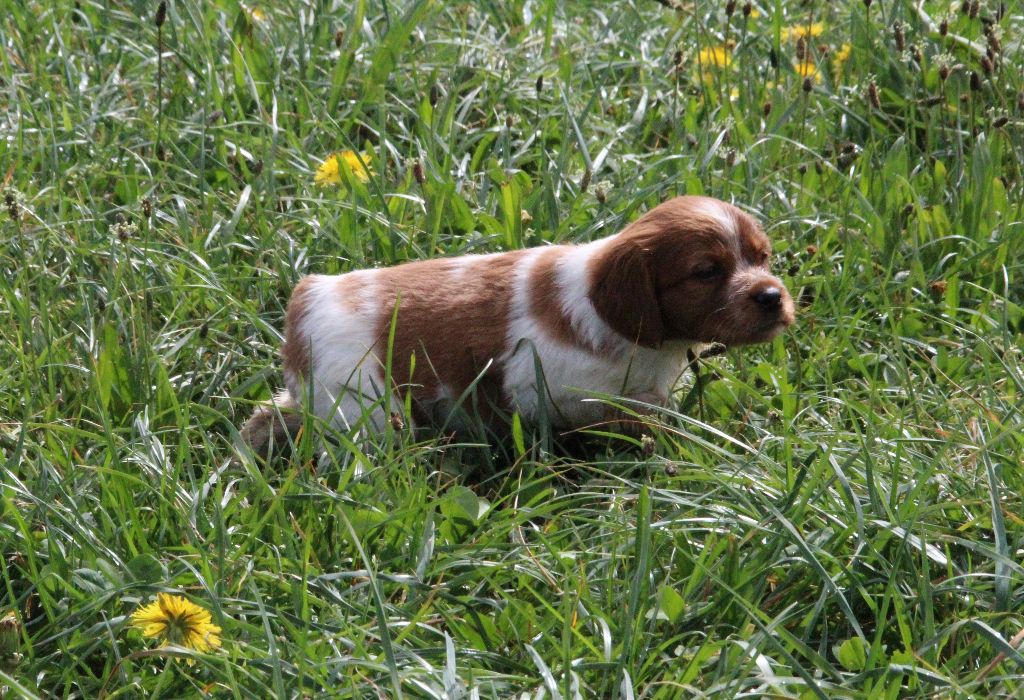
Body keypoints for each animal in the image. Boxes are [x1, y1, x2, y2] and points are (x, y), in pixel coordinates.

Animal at [239, 194, 790, 450]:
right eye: (706, 271)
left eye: (762, 258)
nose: (773, 297)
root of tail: (306, 298)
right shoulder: (547, 386)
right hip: (367, 411)